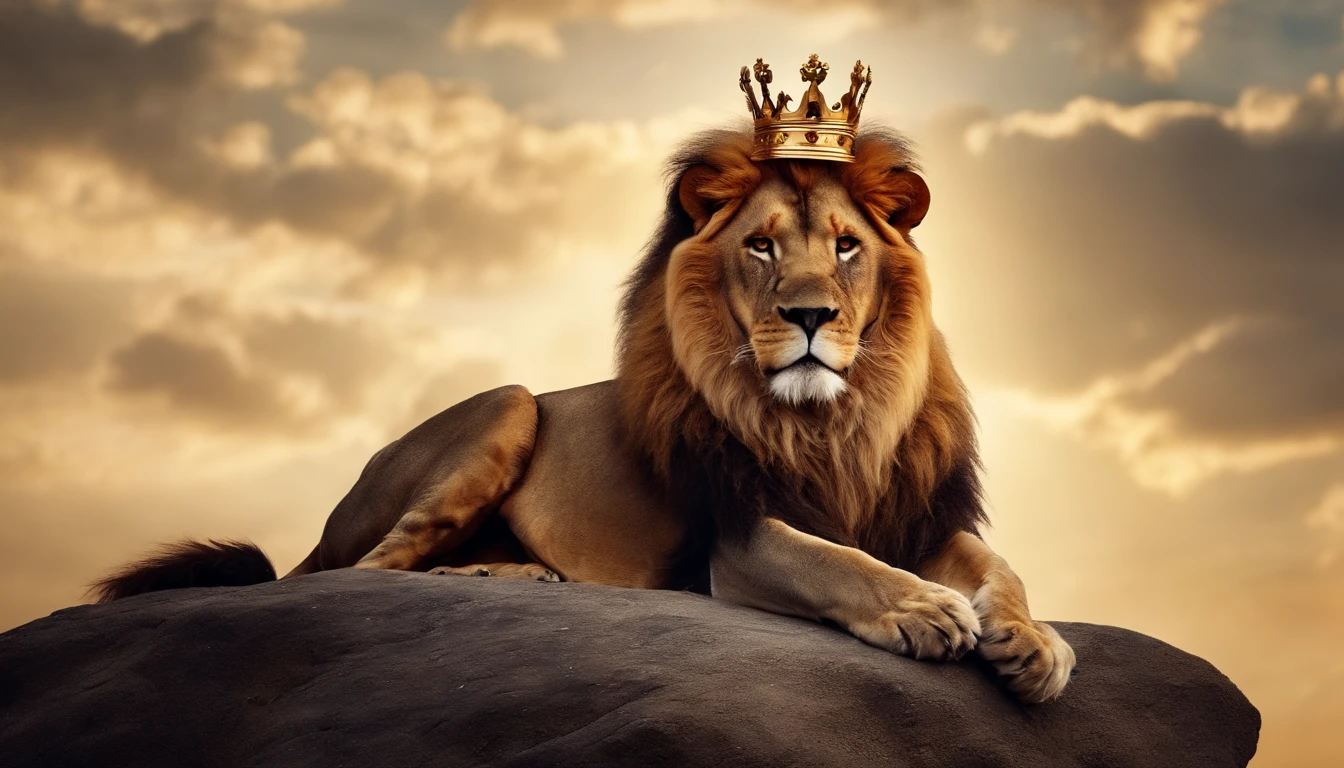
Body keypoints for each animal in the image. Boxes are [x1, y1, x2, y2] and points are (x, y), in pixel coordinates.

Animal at [94, 127, 1075, 703]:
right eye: (761, 248)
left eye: (846, 247)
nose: (809, 316)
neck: (833, 421)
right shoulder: (736, 535)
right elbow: (832, 562)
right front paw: (923, 610)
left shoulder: (915, 512)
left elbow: (998, 566)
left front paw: (1034, 642)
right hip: (507, 406)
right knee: (359, 574)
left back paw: (521, 574)